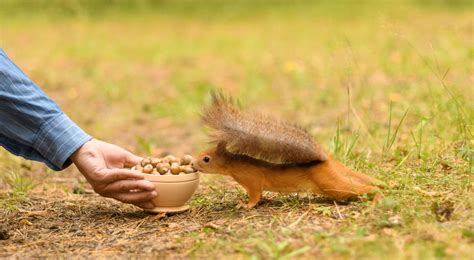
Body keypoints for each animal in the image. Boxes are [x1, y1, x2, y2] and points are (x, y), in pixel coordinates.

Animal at [193, 92, 382, 208]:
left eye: (206, 158)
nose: (193, 165)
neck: (234, 164)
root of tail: (327, 161)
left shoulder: (252, 180)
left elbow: (255, 196)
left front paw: (245, 205)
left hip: (332, 186)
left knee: (361, 189)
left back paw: (377, 198)